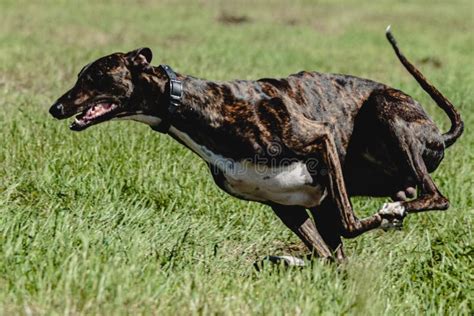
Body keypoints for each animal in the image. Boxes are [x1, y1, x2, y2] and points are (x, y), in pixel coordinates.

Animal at [48, 28, 462, 262]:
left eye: (95, 75)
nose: (56, 108)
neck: (197, 105)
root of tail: (438, 132)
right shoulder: (288, 205)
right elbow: (329, 258)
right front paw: (290, 262)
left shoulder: (319, 139)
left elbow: (349, 226)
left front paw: (386, 218)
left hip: (387, 113)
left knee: (436, 196)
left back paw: (396, 209)